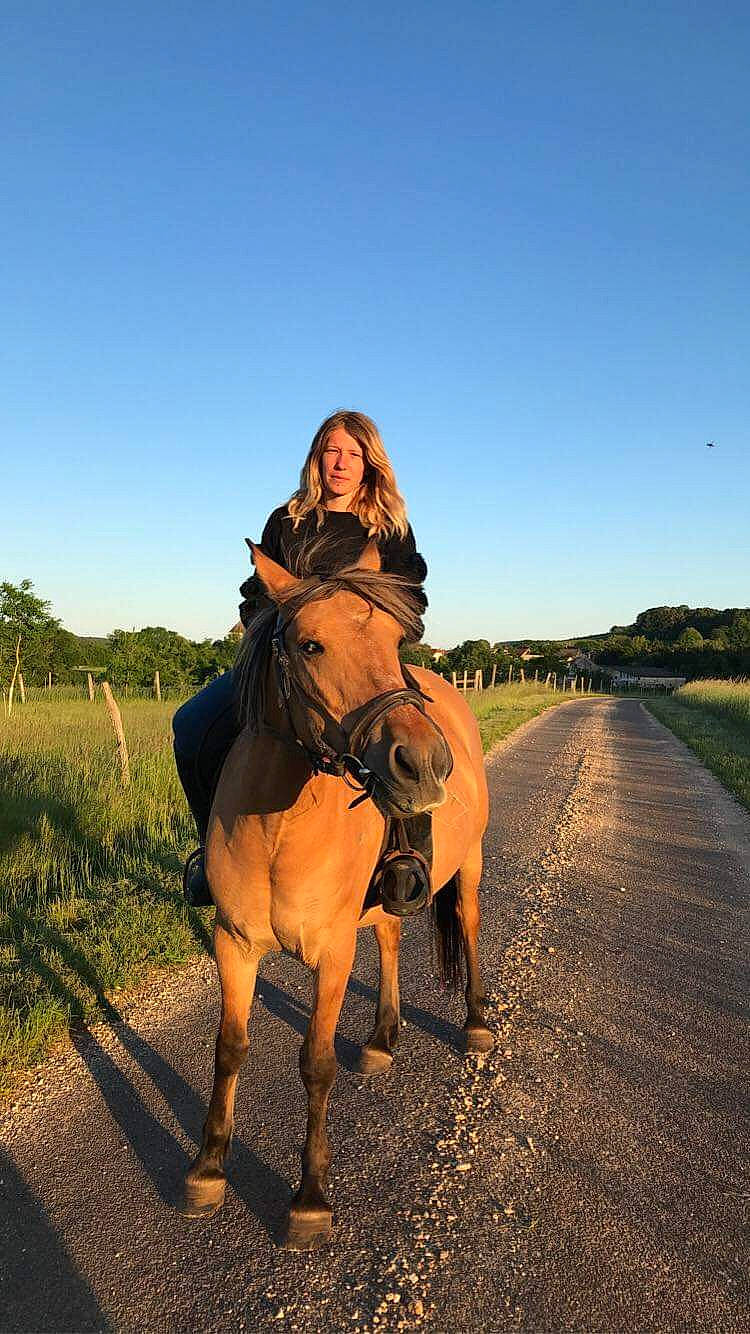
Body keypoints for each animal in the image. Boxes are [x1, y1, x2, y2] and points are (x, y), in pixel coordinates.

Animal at [183, 541, 494, 1249]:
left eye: (396, 639)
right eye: (309, 645)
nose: (424, 764)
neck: (279, 826)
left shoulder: (330, 954)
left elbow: (316, 1062)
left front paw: (310, 1199)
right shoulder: (234, 944)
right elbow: (229, 1047)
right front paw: (209, 1167)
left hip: (468, 866)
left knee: (467, 925)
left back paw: (476, 1024)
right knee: (390, 935)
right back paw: (382, 1038)